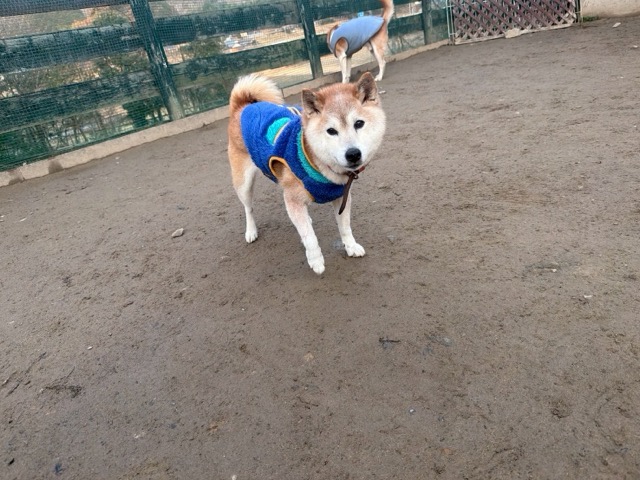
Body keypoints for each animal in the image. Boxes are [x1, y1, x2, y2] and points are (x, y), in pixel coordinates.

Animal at [227, 72, 386, 274]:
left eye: (359, 123)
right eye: (331, 131)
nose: (353, 154)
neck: (319, 164)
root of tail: (244, 106)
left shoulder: (341, 197)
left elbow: (345, 227)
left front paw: (351, 246)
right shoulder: (293, 199)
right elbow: (309, 237)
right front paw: (316, 260)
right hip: (244, 183)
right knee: (248, 208)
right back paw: (251, 231)